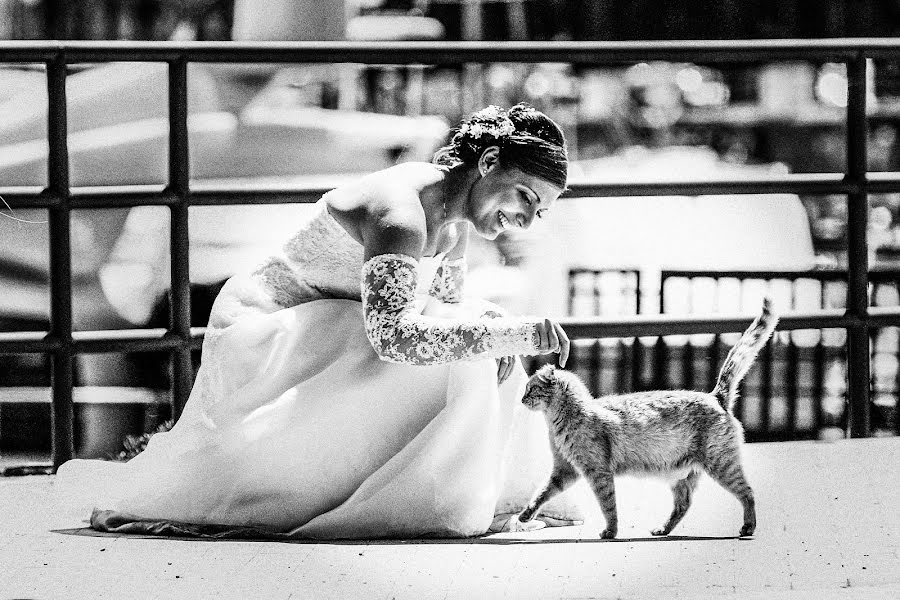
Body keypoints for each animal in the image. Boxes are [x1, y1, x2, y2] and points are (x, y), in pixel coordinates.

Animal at [520, 298, 780, 536]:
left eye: (530, 389)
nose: (522, 400)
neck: (563, 419)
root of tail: (716, 396)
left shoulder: (598, 472)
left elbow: (608, 506)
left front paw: (611, 532)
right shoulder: (564, 470)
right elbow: (542, 494)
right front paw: (525, 515)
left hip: (722, 465)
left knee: (747, 492)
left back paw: (748, 527)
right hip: (683, 476)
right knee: (684, 504)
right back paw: (662, 529)